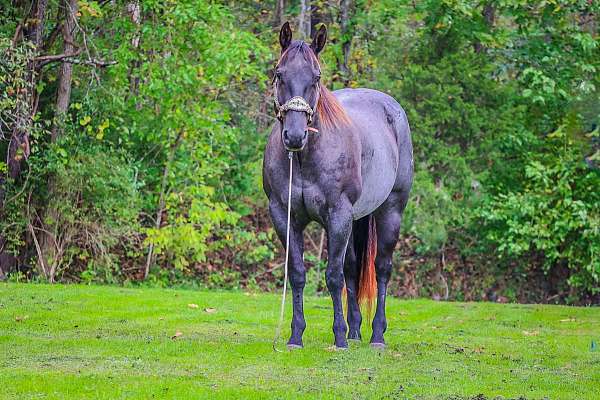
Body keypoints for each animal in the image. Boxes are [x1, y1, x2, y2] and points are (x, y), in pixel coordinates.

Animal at [262, 21, 412, 348]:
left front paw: (339, 337)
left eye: (316, 77)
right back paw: (356, 330)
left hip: (390, 210)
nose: (295, 136)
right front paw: (296, 335)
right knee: (353, 268)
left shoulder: (338, 215)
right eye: (279, 73)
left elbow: (332, 276)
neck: (305, 158)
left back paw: (376, 334)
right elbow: (298, 273)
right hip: (356, 220)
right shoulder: (284, 216)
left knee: (382, 268)